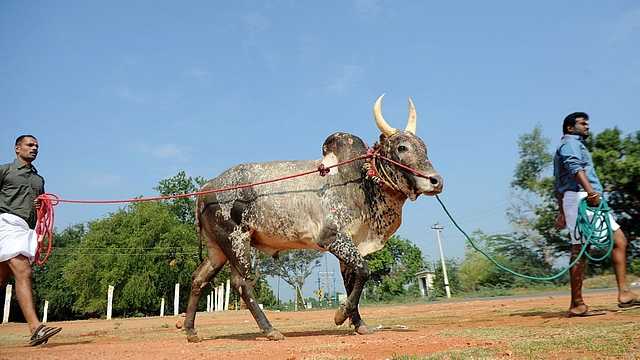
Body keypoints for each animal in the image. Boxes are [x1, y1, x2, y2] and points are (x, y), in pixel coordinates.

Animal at [185, 94, 442, 342]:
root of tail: (206, 187)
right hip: (236, 241)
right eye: (402, 147)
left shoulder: (350, 241)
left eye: (424, 147)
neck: (361, 180)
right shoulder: (331, 237)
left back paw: (190, 330)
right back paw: (269, 330)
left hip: (217, 249)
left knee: (199, 278)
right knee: (241, 283)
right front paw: (341, 314)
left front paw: (358, 323)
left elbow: (352, 280)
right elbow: (364, 270)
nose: (436, 181)